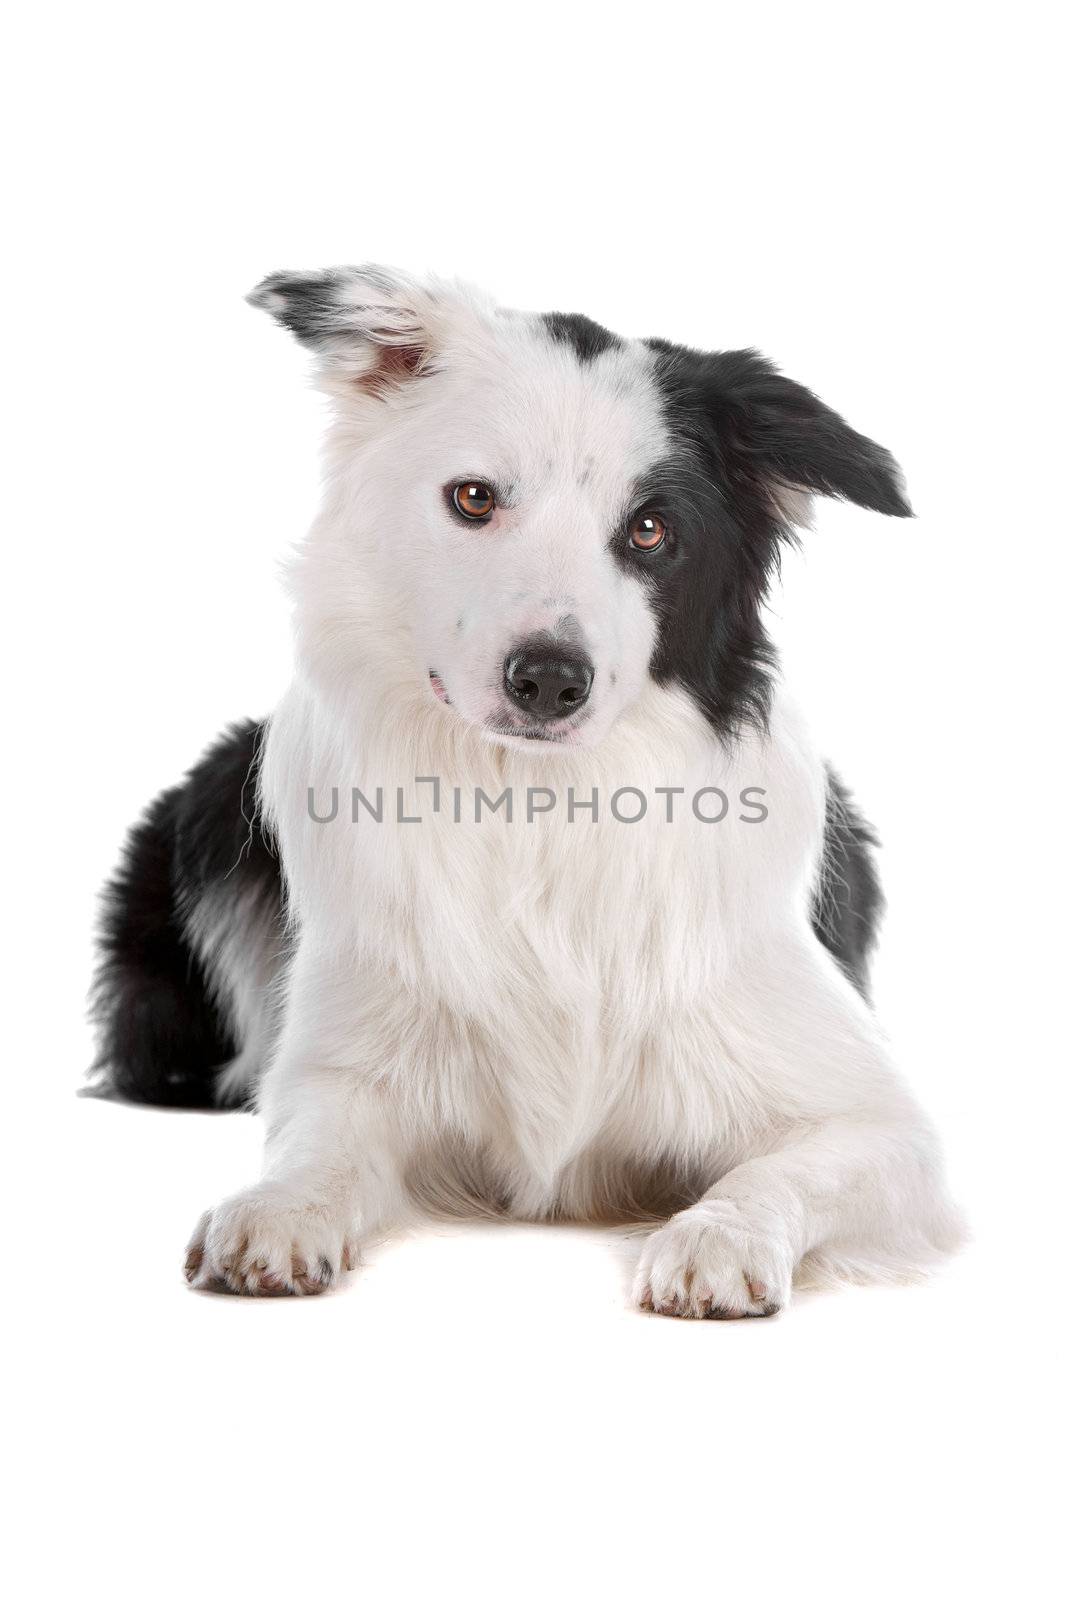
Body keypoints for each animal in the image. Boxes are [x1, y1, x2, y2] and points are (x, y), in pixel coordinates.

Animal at [91, 265, 966, 1312]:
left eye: (650, 530)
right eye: (473, 498)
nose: (549, 679)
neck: (536, 807)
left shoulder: (878, 1126)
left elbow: (779, 1171)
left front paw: (716, 1237)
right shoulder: (346, 1067)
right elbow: (318, 1143)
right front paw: (277, 1210)